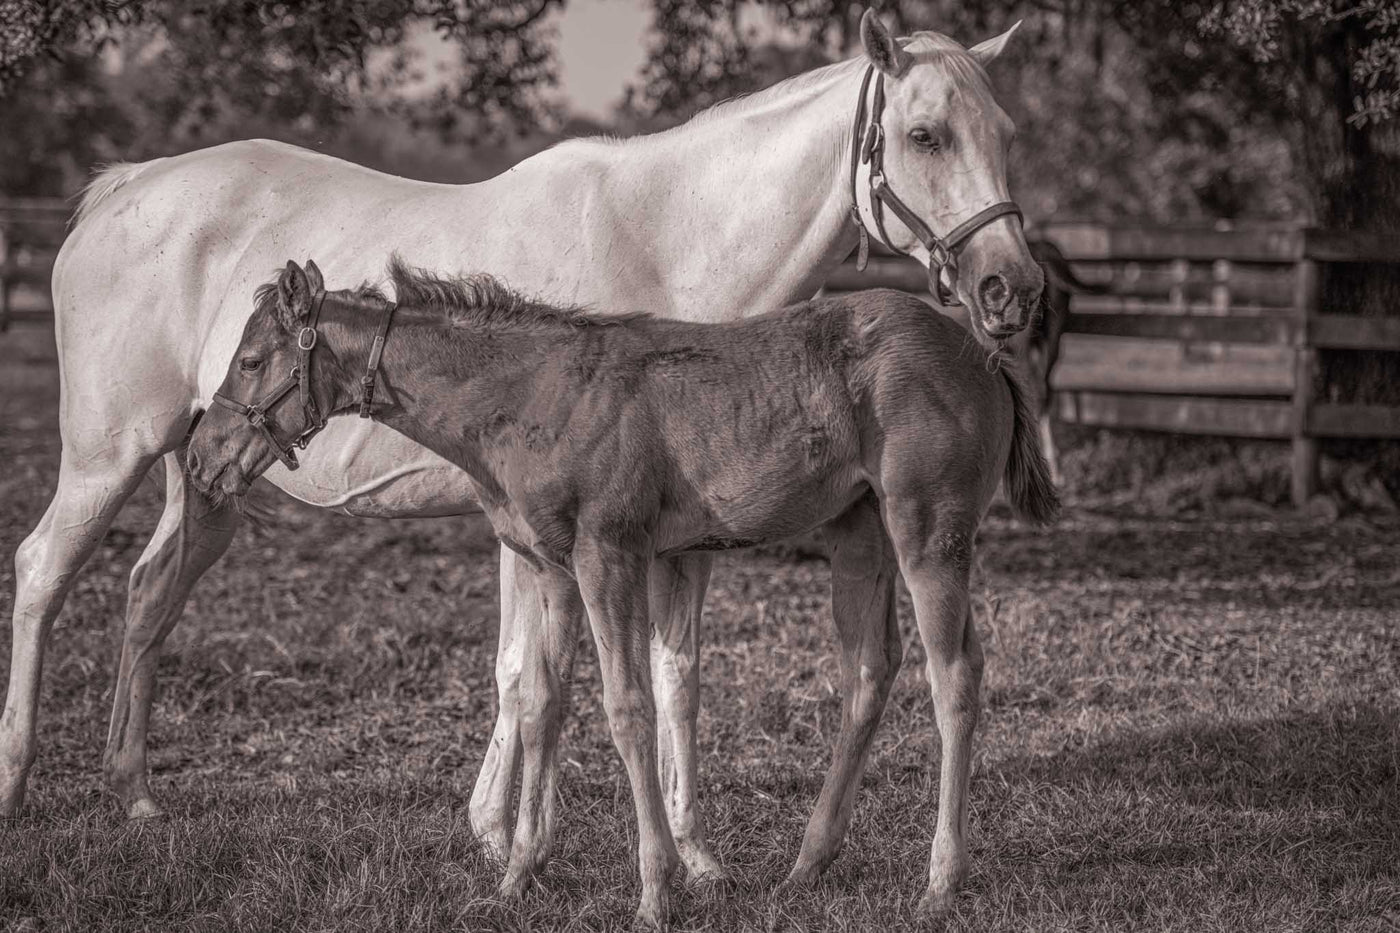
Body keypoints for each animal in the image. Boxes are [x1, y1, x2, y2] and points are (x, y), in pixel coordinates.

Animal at [189, 254, 1058, 924]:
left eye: (251, 361)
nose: (202, 458)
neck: (529, 394)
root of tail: (983, 354)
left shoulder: (609, 555)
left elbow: (628, 706)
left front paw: (654, 888)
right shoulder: (549, 565)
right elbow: (542, 704)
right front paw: (517, 875)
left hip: (928, 528)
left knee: (954, 675)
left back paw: (939, 881)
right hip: (858, 531)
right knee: (870, 670)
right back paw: (808, 862)